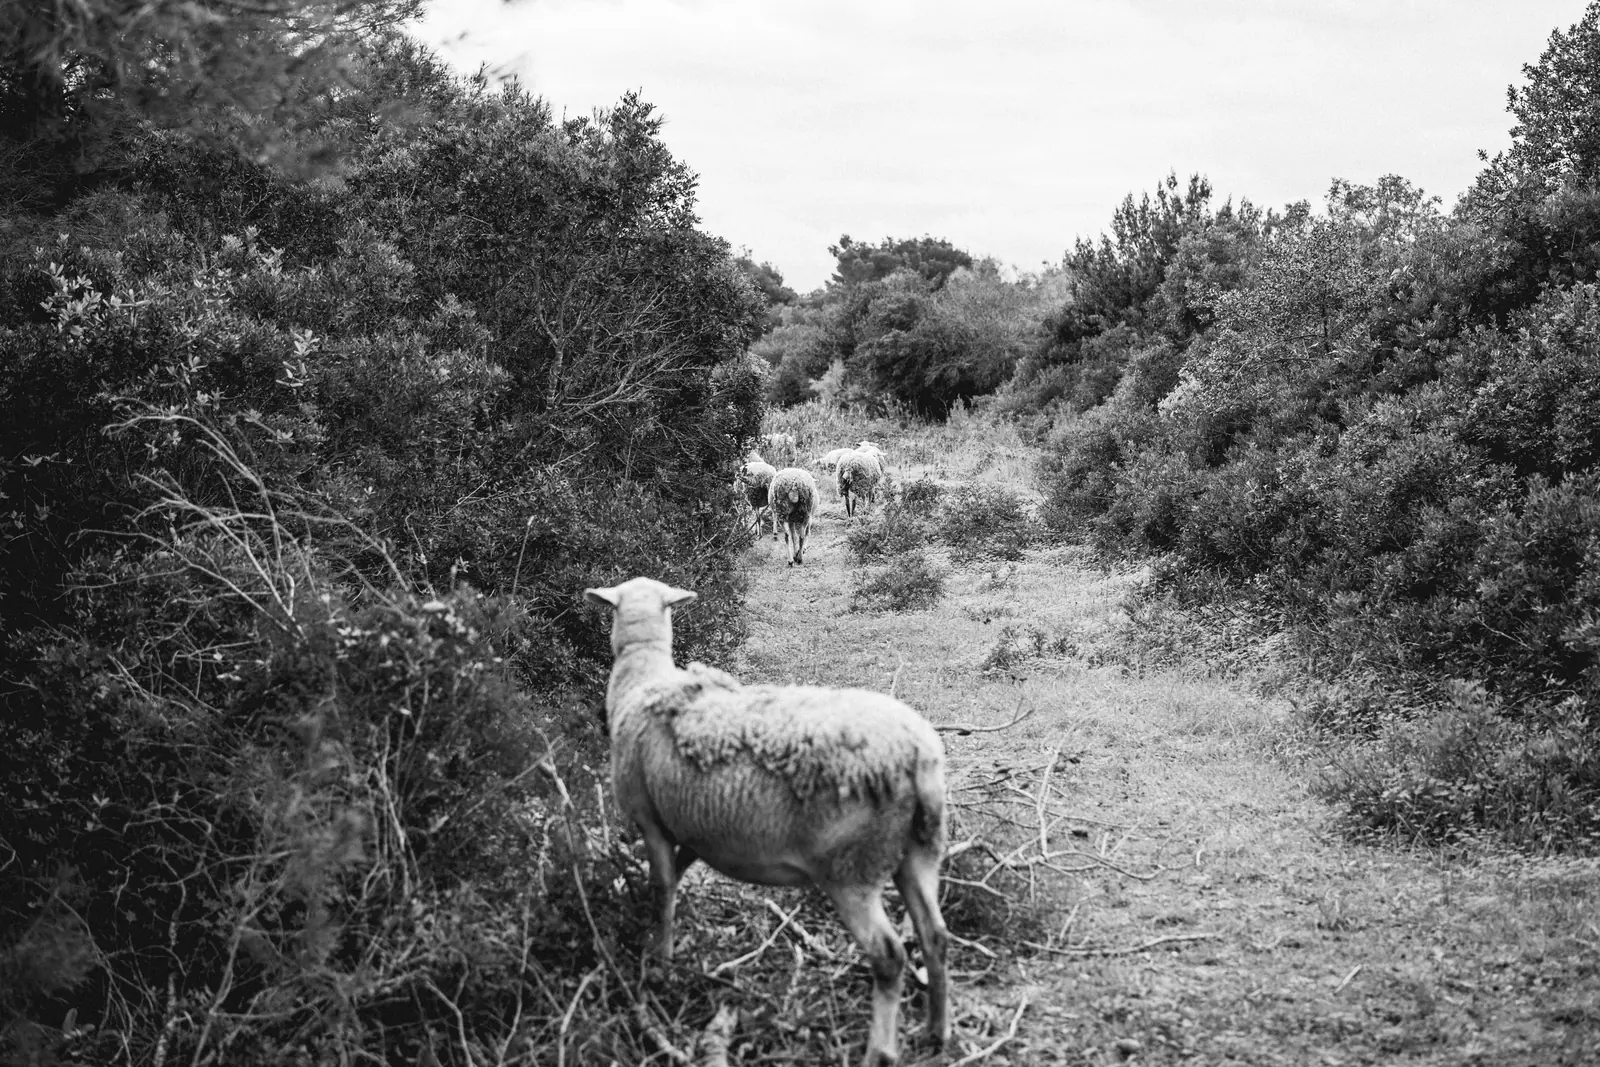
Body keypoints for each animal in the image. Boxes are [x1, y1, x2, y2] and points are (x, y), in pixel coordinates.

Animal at [582, 576, 950, 1067]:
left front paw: (660, 960)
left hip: (850, 868)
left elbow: (662, 888)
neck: (643, 680)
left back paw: (881, 1051)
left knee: (889, 956)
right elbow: (675, 879)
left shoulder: (651, 821)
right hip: (919, 851)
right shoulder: (694, 833)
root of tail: (916, 758)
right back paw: (937, 1031)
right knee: (935, 935)